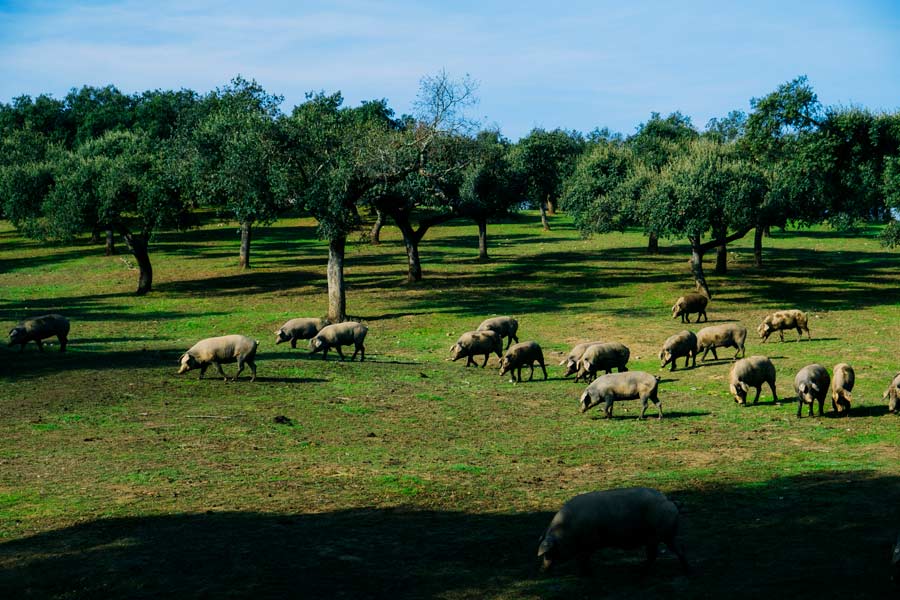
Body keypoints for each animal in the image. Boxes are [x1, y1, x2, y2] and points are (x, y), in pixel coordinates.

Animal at [536, 486, 692, 576]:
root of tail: (671, 502)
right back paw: (685, 570)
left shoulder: (589, 543)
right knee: (678, 549)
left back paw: (639, 571)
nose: (542, 570)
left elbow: (583, 559)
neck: (565, 532)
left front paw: (585, 573)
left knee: (655, 555)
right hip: (667, 535)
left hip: (657, 535)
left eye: (548, 553)